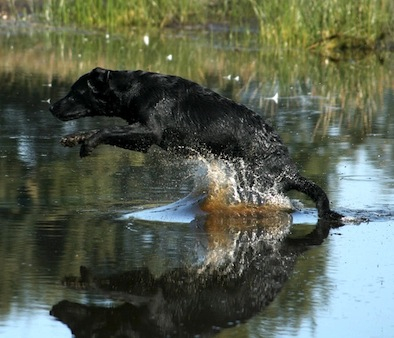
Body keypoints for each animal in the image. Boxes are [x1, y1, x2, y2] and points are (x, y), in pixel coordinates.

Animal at [50, 68, 342, 222]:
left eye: (75, 92)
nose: (52, 107)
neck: (134, 90)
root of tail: (290, 171)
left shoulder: (148, 133)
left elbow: (105, 129)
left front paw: (87, 143)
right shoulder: (140, 136)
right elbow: (103, 129)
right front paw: (73, 138)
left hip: (255, 183)